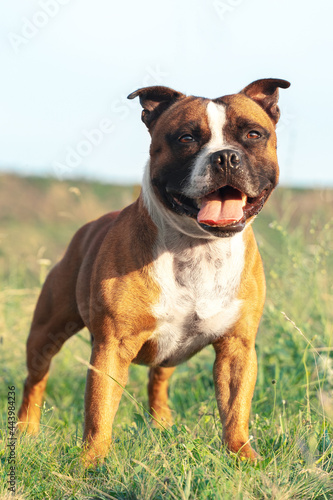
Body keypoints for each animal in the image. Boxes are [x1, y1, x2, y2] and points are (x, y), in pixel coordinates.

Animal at [17, 78, 288, 464]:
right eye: (186, 138)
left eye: (253, 134)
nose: (224, 156)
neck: (197, 246)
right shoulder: (112, 348)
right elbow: (99, 411)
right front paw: (91, 463)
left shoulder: (237, 347)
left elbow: (236, 409)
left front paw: (242, 456)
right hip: (46, 331)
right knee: (36, 378)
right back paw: (25, 429)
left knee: (158, 380)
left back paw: (161, 425)